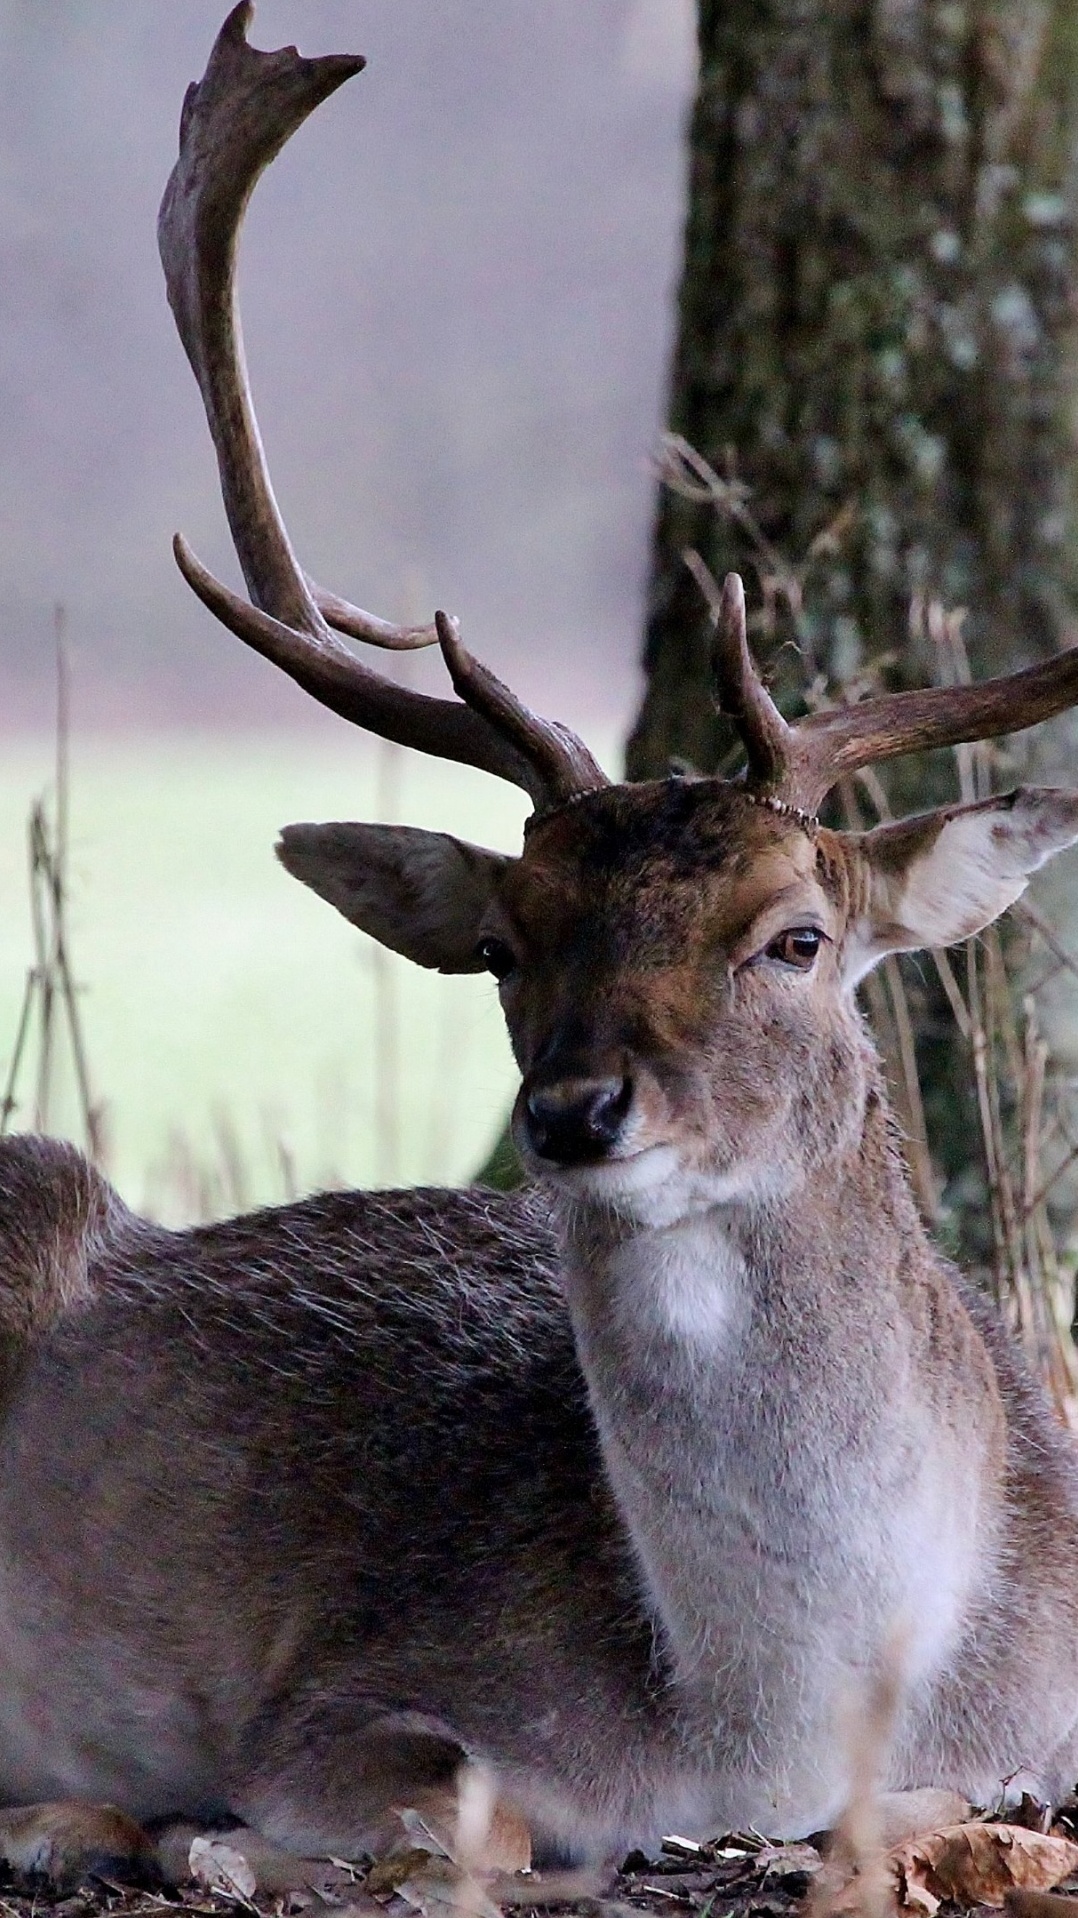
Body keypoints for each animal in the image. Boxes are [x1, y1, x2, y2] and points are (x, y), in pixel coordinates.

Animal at [8, 0, 1078, 1887]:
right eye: (507, 941)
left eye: (796, 936)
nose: (579, 1110)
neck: (765, 1720)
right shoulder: (354, 1694)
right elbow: (468, 1812)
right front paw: (213, 1841)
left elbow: (956, 1794)